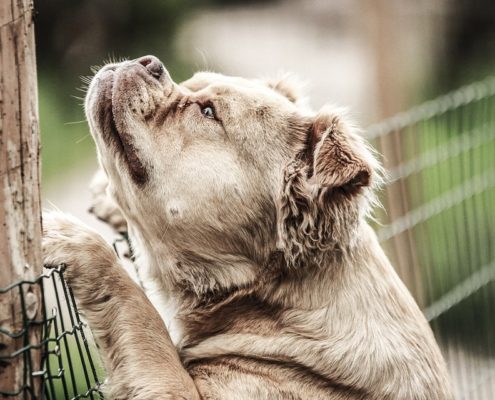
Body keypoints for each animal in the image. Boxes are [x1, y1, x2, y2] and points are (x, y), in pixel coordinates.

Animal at [42, 54, 454, 398]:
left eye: (208, 111)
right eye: (190, 83)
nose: (150, 62)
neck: (272, 297)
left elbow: (141, 316)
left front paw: (72, 239)